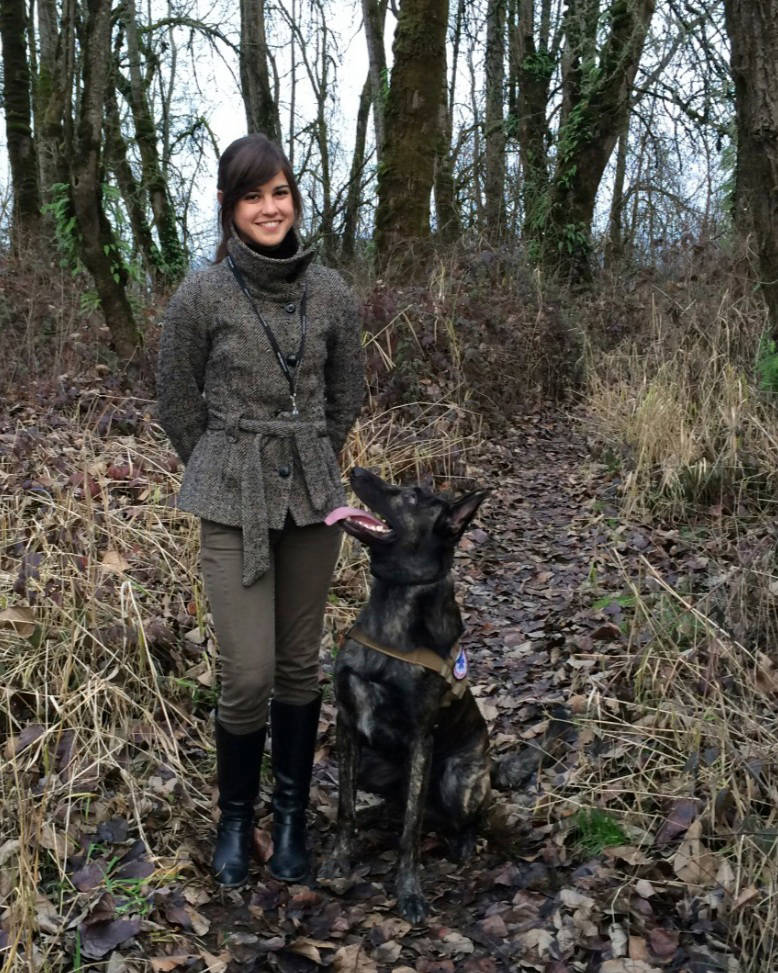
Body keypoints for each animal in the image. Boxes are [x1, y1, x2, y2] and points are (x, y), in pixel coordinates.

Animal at [322, 468, 492, 924]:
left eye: (413, 496)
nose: (355, 471)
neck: (394, 605)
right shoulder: (347, 724)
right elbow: (345, 808)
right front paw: (340, 858)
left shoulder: (421, 740)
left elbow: (411, 830)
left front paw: (409, 891)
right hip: (372, 765)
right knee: (394, 803)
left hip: (458, 778)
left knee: (458, 816)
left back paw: (464, 842)